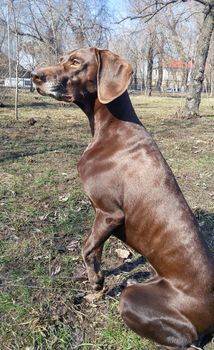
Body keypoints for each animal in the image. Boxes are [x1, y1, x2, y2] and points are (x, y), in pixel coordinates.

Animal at [31, 48, 214, 350]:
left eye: (76, 62)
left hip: (134, 299)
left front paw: (95, 283)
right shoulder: (103, 218)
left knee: (187, 341)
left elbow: (86, 248)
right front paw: (95, 281)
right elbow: (94, 250)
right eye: (62, 59)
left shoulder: (109, 213)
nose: (34, 76)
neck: (111, 127)